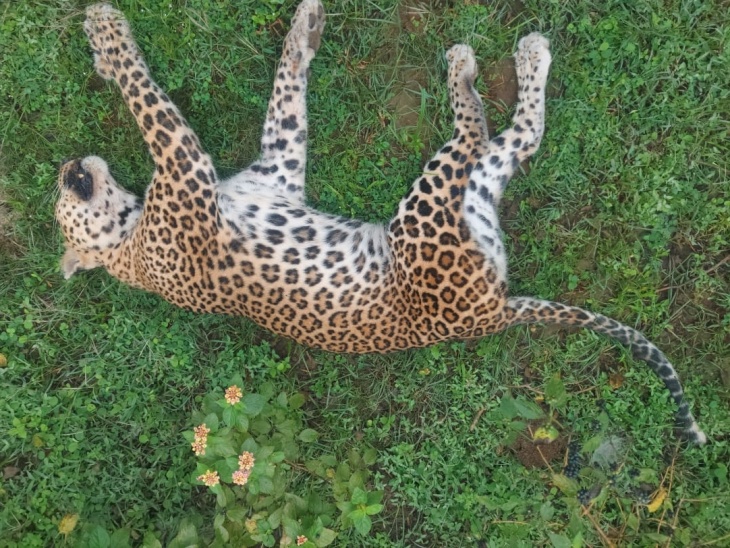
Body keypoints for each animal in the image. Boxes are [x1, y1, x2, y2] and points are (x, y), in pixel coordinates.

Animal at [56, 0, 706, 444]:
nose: (65, 167)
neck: (130, 237)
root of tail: (494, 311)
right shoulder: (185, 167)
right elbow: (147, 101)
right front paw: (106, 34)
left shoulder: (276, 162)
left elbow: (283, 95)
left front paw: (305, 27)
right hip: (430, 211)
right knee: (476, 132)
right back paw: (472, 64)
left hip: (465, 195)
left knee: (517, 137)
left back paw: (527, 56)